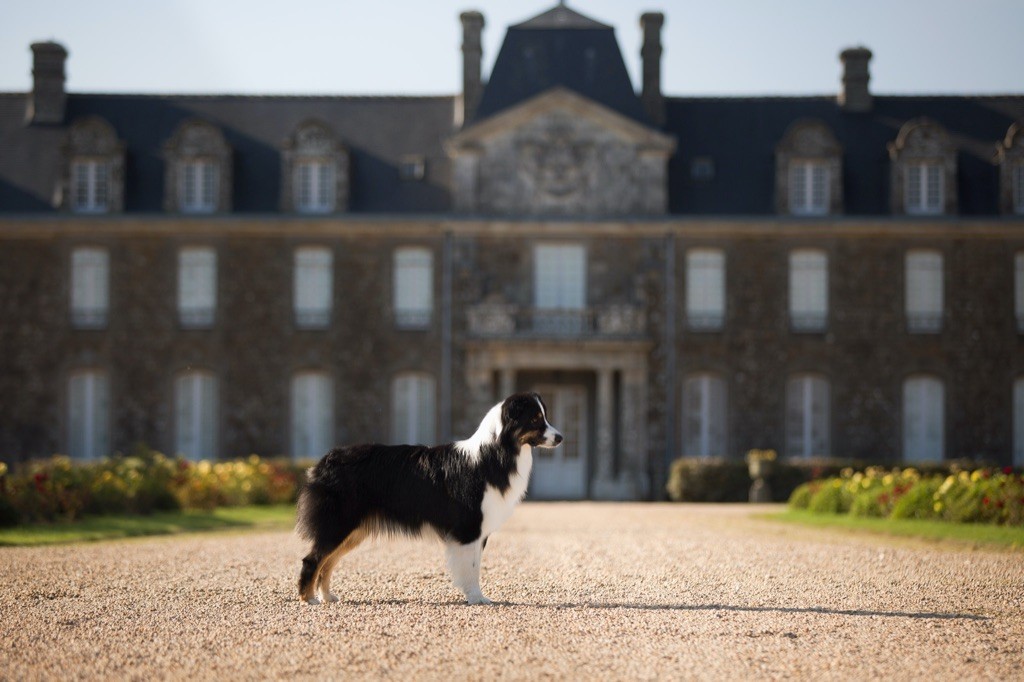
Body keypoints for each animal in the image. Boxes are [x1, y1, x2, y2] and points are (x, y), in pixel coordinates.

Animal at [296, 391, 565, 602]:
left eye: (545, 416)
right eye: (535, 419)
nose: (560, 437)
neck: (497, 452)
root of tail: (323, 461)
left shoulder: (479, 531)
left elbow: (476, 565)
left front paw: (476, 596)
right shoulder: (470, 528)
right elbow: (472, 568)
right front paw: (476, 598)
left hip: (353, 530)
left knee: (328, 562)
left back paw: (327, 596)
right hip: (339, 524)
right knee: (313, 559)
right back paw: (309, 599)